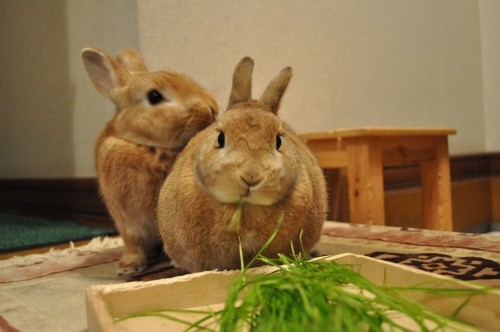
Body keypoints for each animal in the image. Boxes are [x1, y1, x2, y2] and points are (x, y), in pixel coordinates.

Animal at [82, 46, 219, 274]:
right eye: (154, 96)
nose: (211, 108)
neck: (151, 147)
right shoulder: (128, 221)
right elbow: (133, 243)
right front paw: (127, 268)